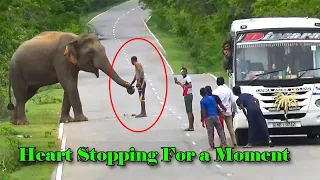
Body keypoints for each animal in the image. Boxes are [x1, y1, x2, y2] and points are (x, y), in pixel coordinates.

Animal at [7, 31, 135, 125]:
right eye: (90, 53)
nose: (131, 88)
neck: (76, 38)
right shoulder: (61, 59)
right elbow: (69, 83)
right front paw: (82, 119)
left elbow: (70, 85)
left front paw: (67, 120)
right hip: (17, 71)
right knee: (21, 94)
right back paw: (23, 123)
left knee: (26, 95)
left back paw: (14, 122)